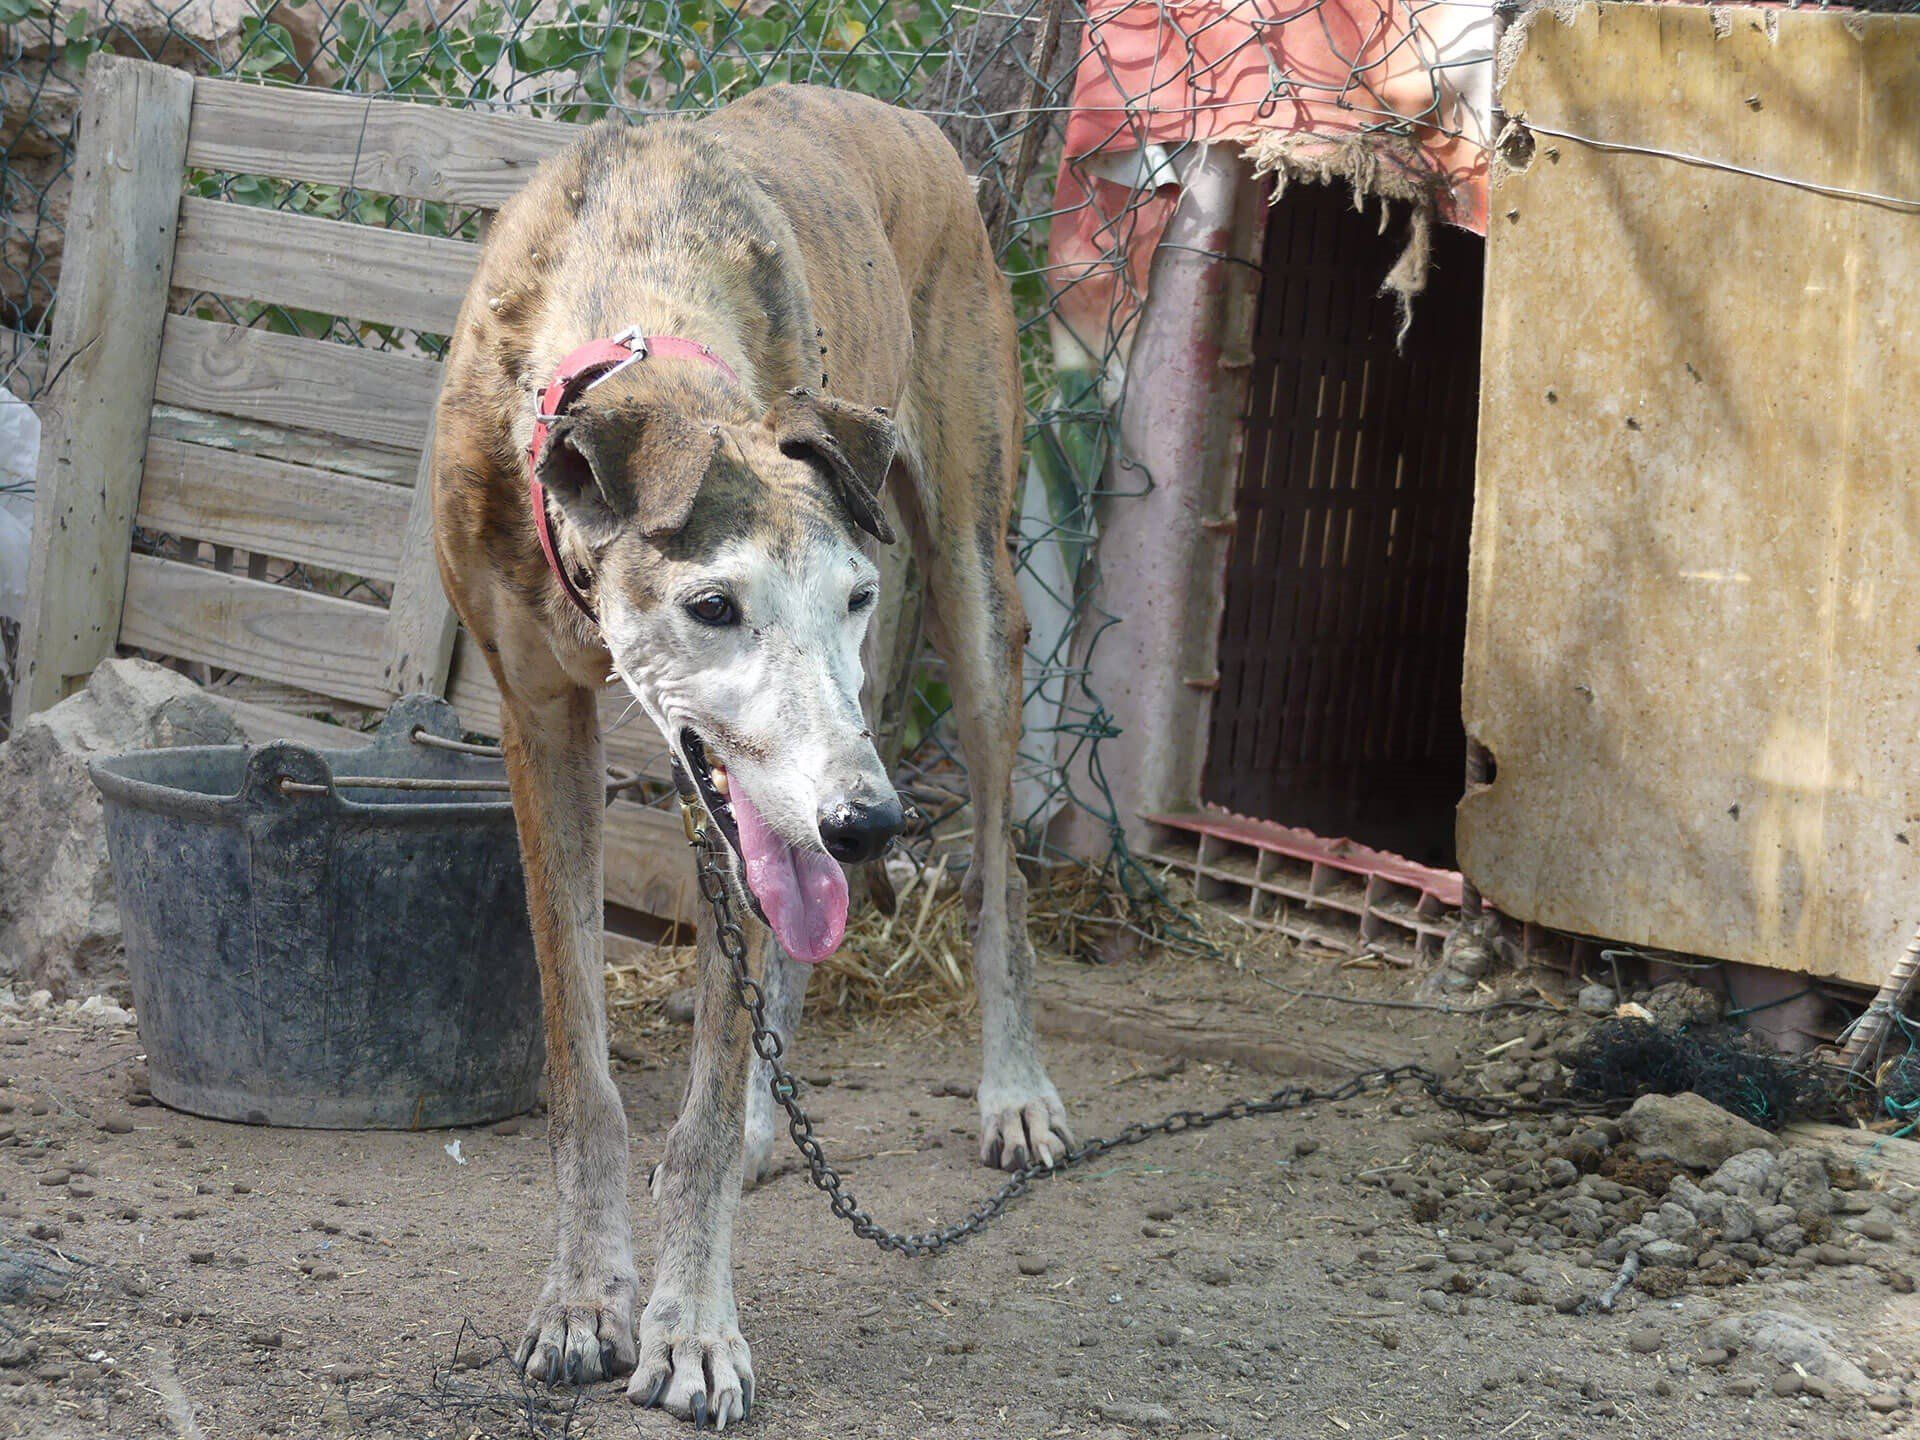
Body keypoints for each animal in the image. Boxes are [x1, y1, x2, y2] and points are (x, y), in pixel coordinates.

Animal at [428, 84, 1075, 1428]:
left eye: (853, 597)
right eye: (714, 606)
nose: (870, 825)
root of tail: (916, 129)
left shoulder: (749, 790)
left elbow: (706, 1112)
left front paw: (691, 1332)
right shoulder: (541, 721)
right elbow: (587, 1076)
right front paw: (585, 1299)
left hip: (972, 598)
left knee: (997, 875)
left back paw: (1014, 1091)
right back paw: (783, 1125)